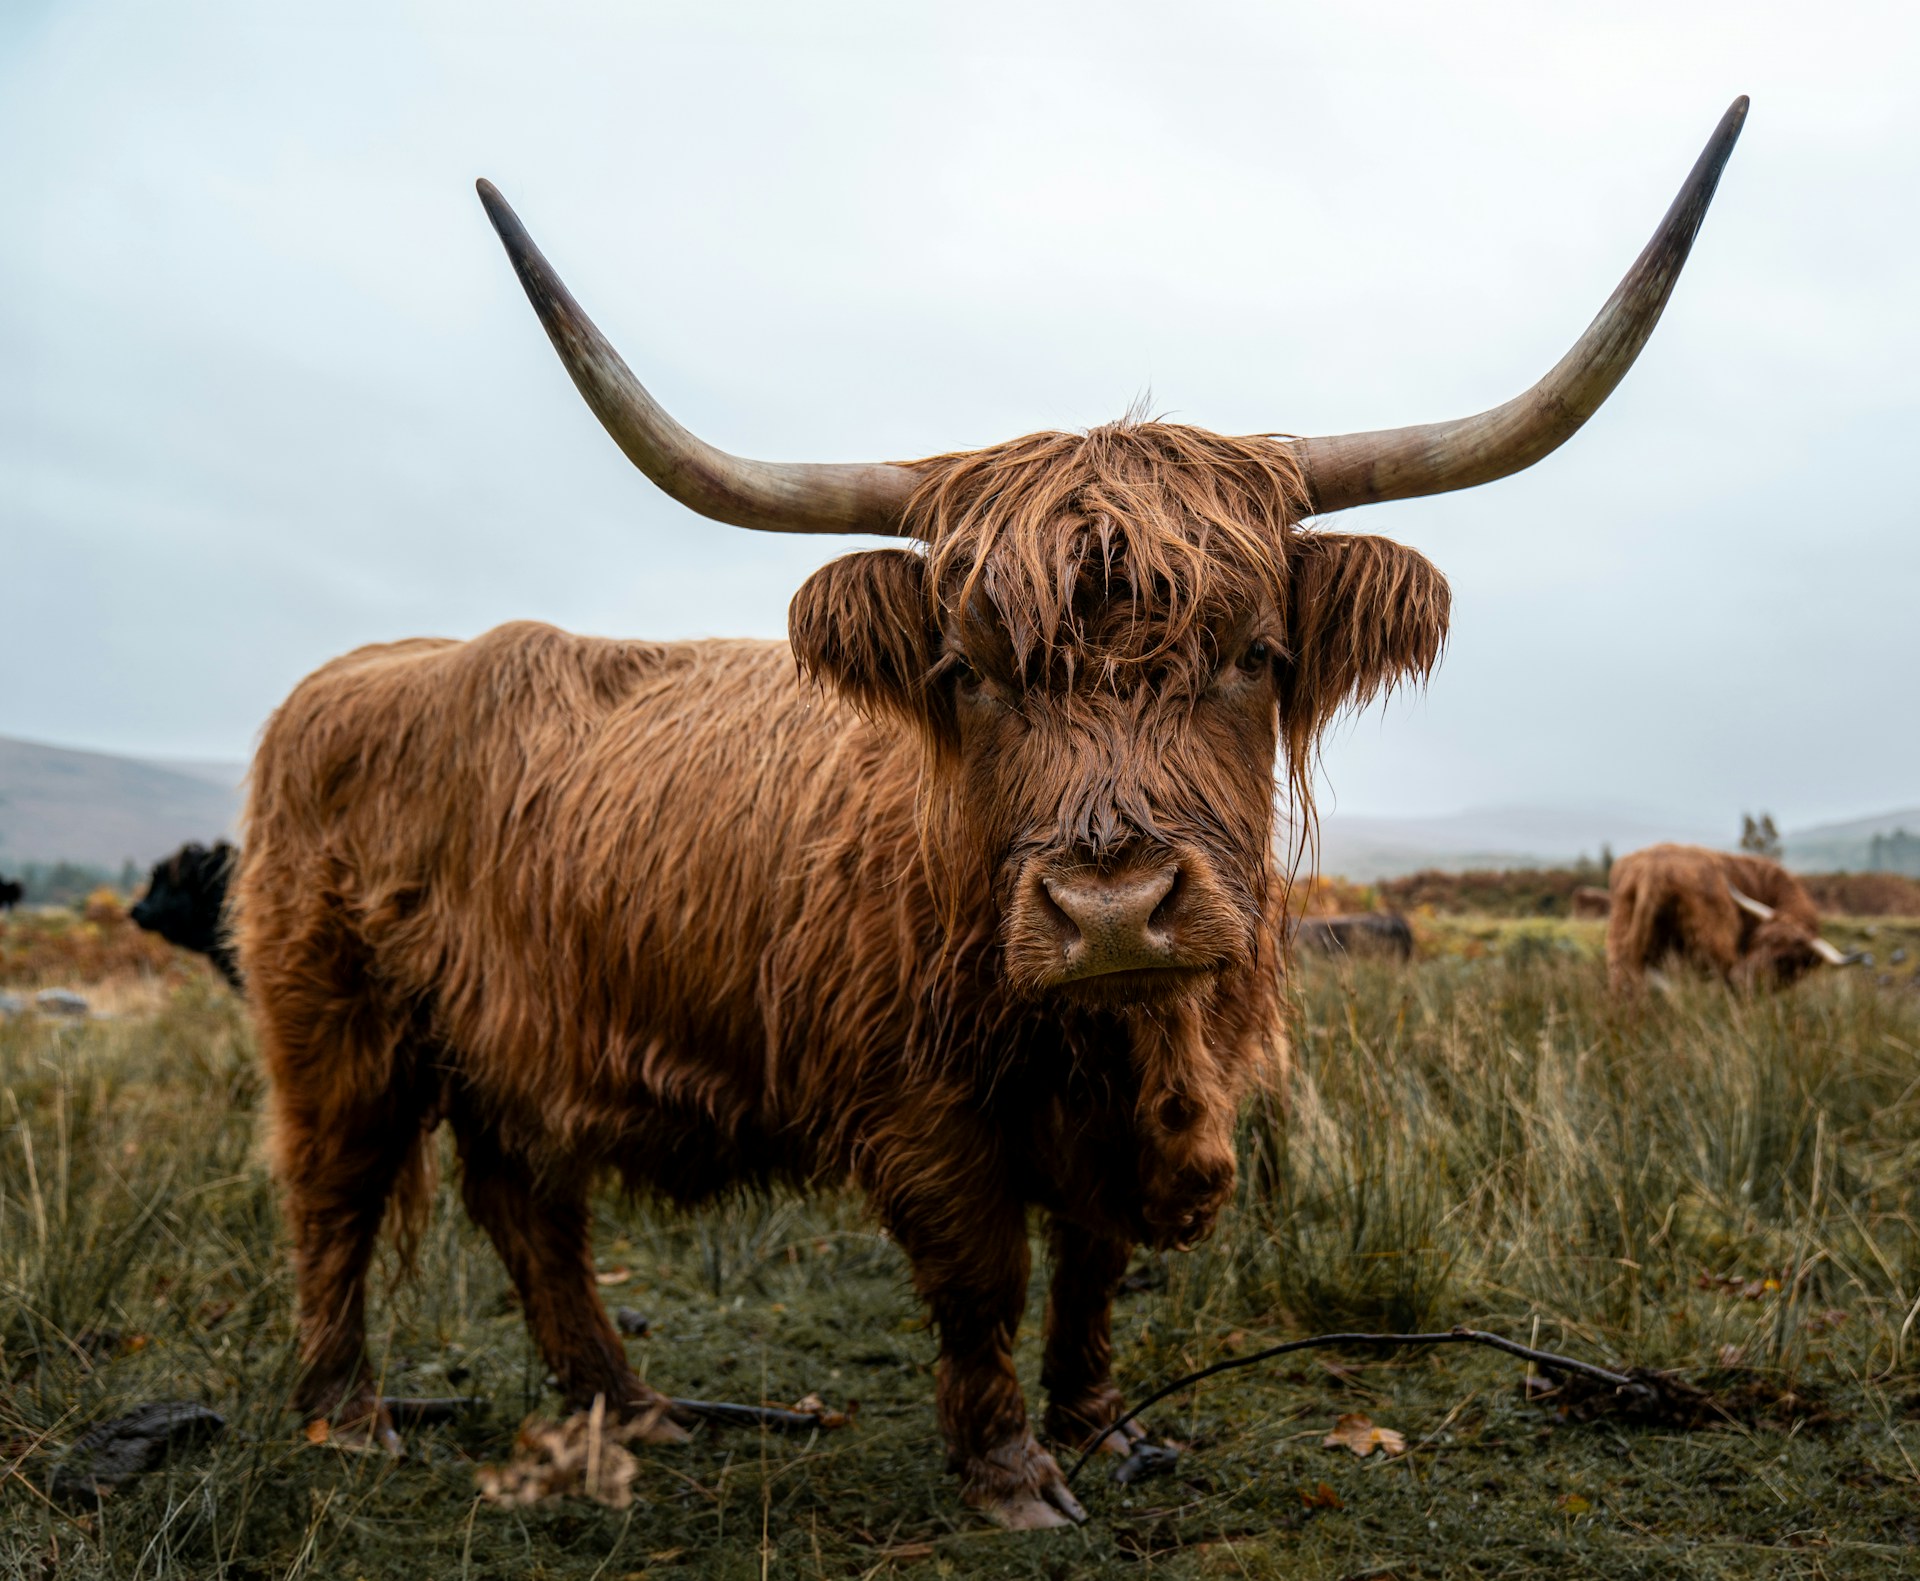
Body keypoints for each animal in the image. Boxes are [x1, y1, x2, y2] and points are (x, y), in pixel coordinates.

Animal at [236, 101, 1743, 1536]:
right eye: (966, 673)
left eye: (1255, 655)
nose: (1112, 911)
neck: (1123, 1042)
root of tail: (351, 678)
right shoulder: (920, 1108)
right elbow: (985, 1274)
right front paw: (1013, 1472)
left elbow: (1094, 1262)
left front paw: (1105, 1427)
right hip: (335, 1020)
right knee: (334, 1189)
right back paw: (349, 1415)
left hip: (509, 1048)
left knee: (528, 1204)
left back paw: (631, 1407)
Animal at [1605, 845, 1858, 998]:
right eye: (1757, 942)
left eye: (1783, 959)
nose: (1741, 977)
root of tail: (1653, 869)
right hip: (1716, 944)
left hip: (1620, 946)